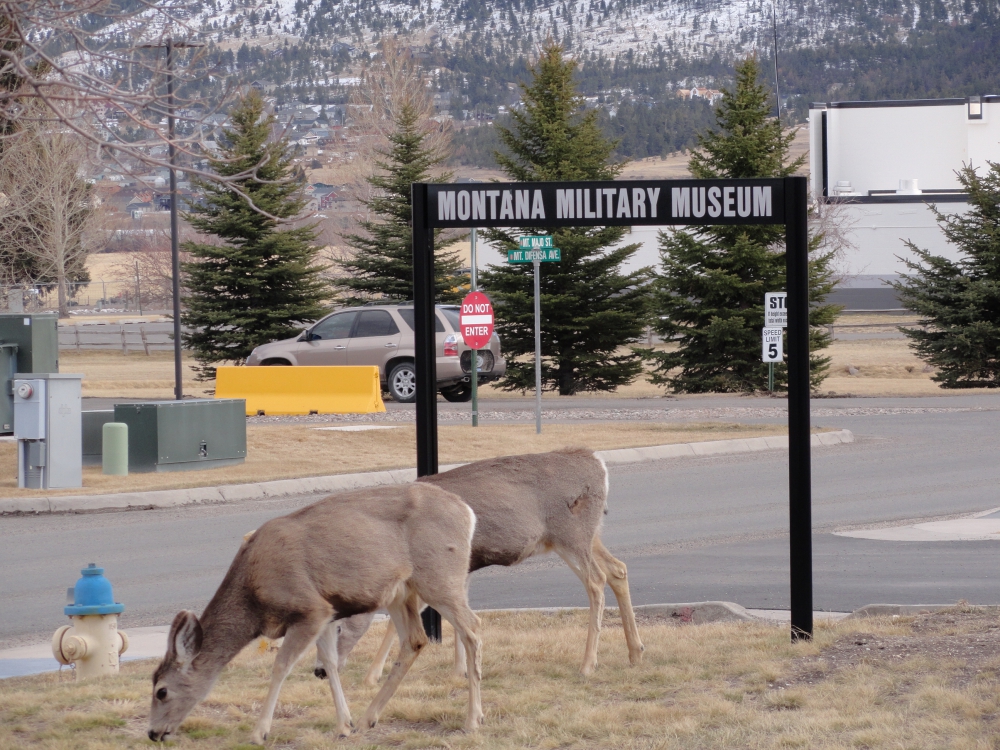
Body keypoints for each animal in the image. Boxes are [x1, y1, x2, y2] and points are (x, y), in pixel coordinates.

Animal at [147, 482, 484, 748]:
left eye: (161, 691)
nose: (152, 733)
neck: (254, 597)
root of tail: (468, 513)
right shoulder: (328, 611)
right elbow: (330, 663)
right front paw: (345, 725)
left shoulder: (310, 608)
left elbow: (281, 665)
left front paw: (259, 733)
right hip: (401, 592)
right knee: (415, 639)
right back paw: (368, 719)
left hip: (438, 576)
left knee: (472, 627)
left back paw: (473, 720)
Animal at [320, 450, 648, 684]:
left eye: (338, 627)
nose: (321, 672)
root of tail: (598, 464)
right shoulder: (458, 569)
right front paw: (459, 670)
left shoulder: (431, 568)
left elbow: (400, 620)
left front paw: (371, 676)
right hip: (587, 536)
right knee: (618, 569)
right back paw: (635, 652)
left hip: (571, 534)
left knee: (596, 580)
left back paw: (588, 664)